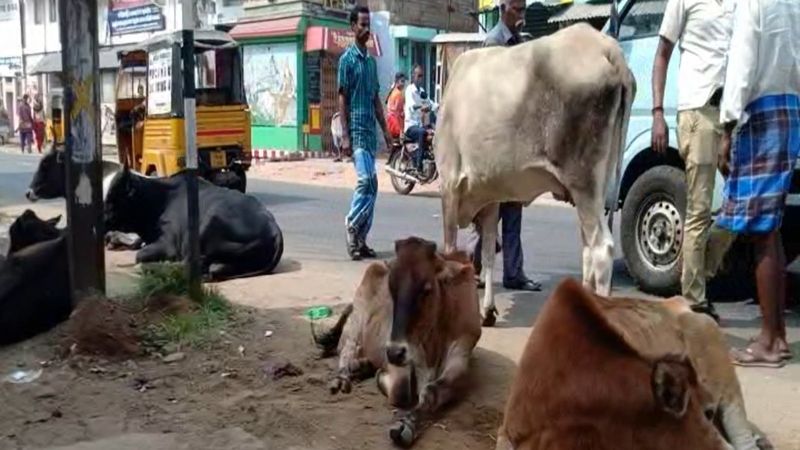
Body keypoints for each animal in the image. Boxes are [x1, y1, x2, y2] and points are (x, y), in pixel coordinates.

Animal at [104, 165, 282, 280]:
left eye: (113, 197)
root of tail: (274, 229)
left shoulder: (168, 244)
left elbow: (140, 255)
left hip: (207, 227)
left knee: (194, 266)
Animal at [316, 237, 482, 448]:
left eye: (426, 289)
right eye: (391, 288)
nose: (395, 352)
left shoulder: (461, 350)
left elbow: (431, 391)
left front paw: (407, 424)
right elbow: (402, 390)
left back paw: (361, 366)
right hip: (358, 315)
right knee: (347, 347)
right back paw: (343, 377)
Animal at [434, 22, 636, 326]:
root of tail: (608, 48)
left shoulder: (449, 185)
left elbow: (451, 255)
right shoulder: (490, 195)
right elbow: (488, 252)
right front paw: (487, 311)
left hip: (584, 181)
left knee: (602, 250)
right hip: (598, 186)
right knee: (588, 248)